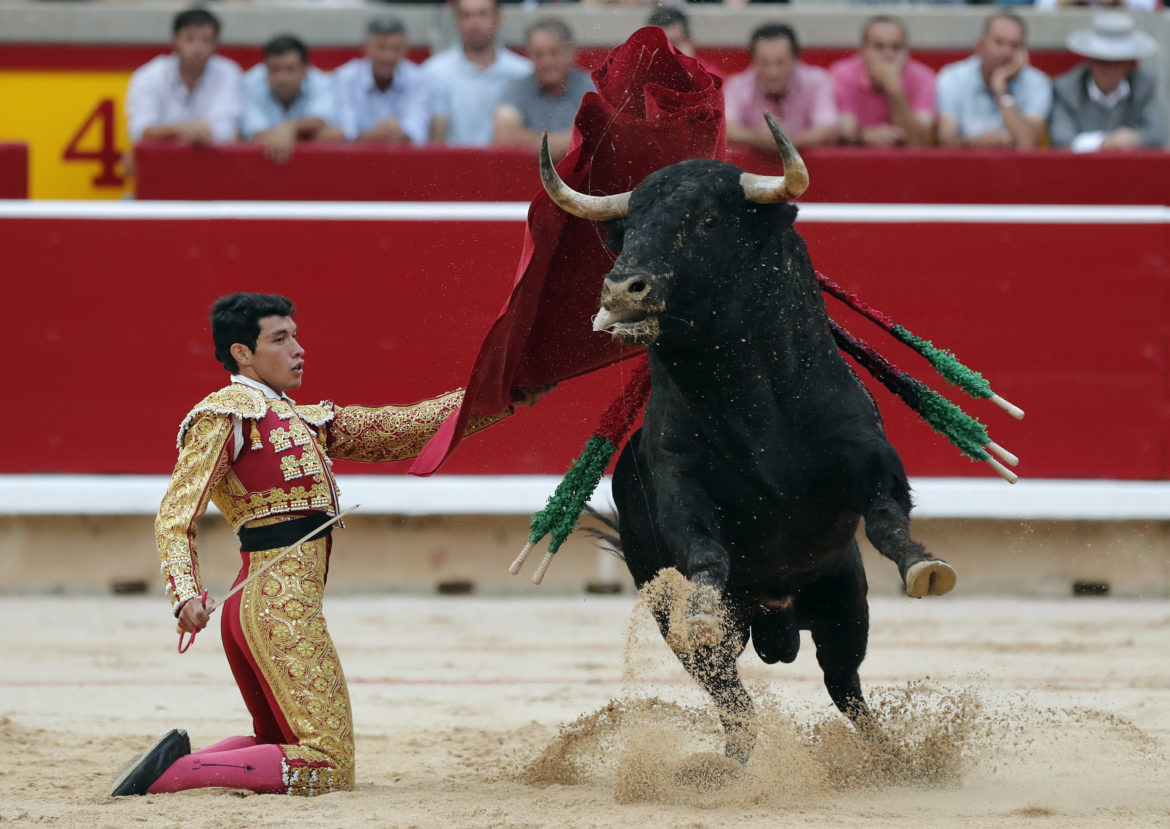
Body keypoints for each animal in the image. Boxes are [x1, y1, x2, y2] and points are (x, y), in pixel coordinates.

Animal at [542, 119, 954, 757]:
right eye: (628, 228)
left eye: (709, 220)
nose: (621, 291)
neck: (754, 410)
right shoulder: (679, 483)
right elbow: (704, 552)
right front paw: (704, 605)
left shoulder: (868, 457)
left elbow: (888, 516)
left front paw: (923, 565)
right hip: (693, 637)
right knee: (734, 701)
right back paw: (737, 762)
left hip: (844, 602)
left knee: (844, 684)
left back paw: (891, 759)